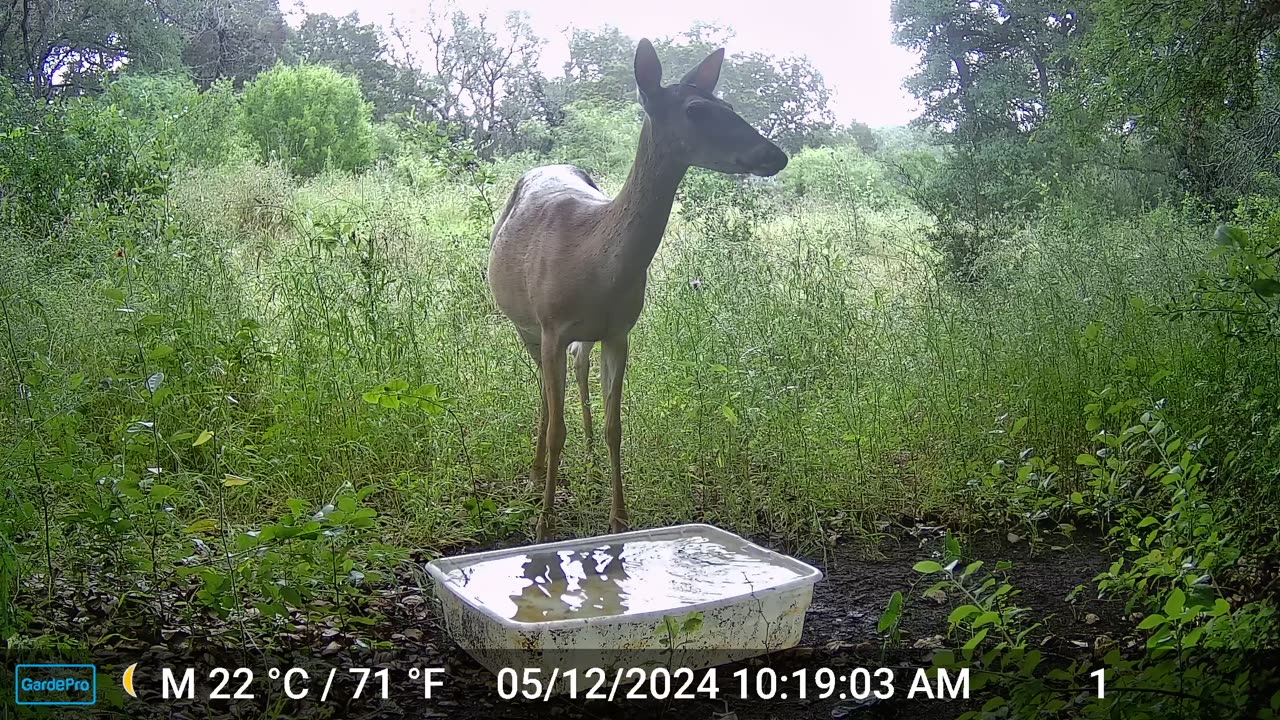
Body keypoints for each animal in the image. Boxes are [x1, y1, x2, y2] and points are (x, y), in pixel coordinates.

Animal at [488, 35, 788, 538]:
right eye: (696, 109)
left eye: (727, 103)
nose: (776, 155)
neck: (594, 259)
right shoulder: (550, 325)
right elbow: (557, 427)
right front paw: (545, 526)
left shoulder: (619, 331)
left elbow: (616, 427)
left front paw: (619, 521)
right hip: (524, 324)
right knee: (546, 397)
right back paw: (535, 474)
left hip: (578, 336)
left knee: (577, 368)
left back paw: (588, 456)